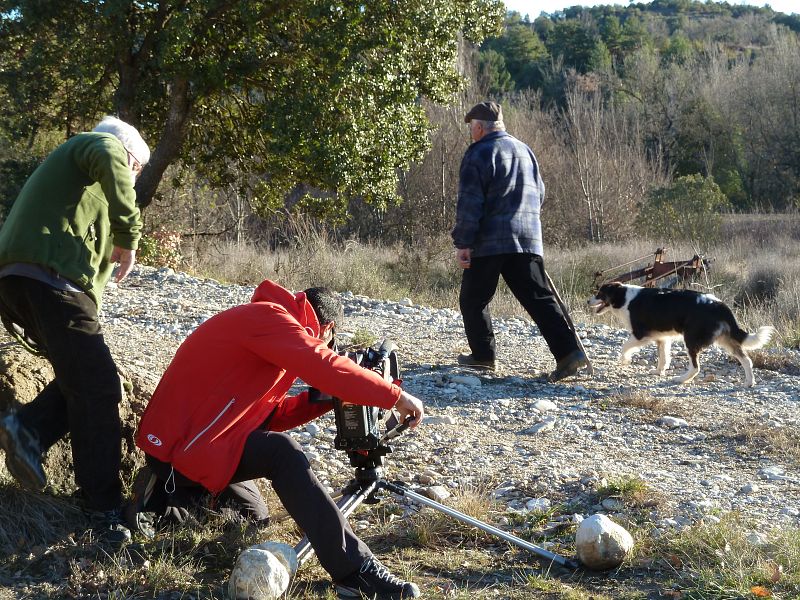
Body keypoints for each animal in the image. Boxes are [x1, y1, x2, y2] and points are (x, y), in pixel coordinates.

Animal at [588, 282, 776, 386]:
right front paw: (659, 371)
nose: (587, 300)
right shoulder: (662, 338)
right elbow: (663, 357)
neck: (624, 297)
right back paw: (749, 382)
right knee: (746, 360)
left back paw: (681, 379)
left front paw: (624, 360)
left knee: (695, 367)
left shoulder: (641, 335)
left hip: (691, 339)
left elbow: (624, 346)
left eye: (600, 293)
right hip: (726, 340)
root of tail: (719, 304)